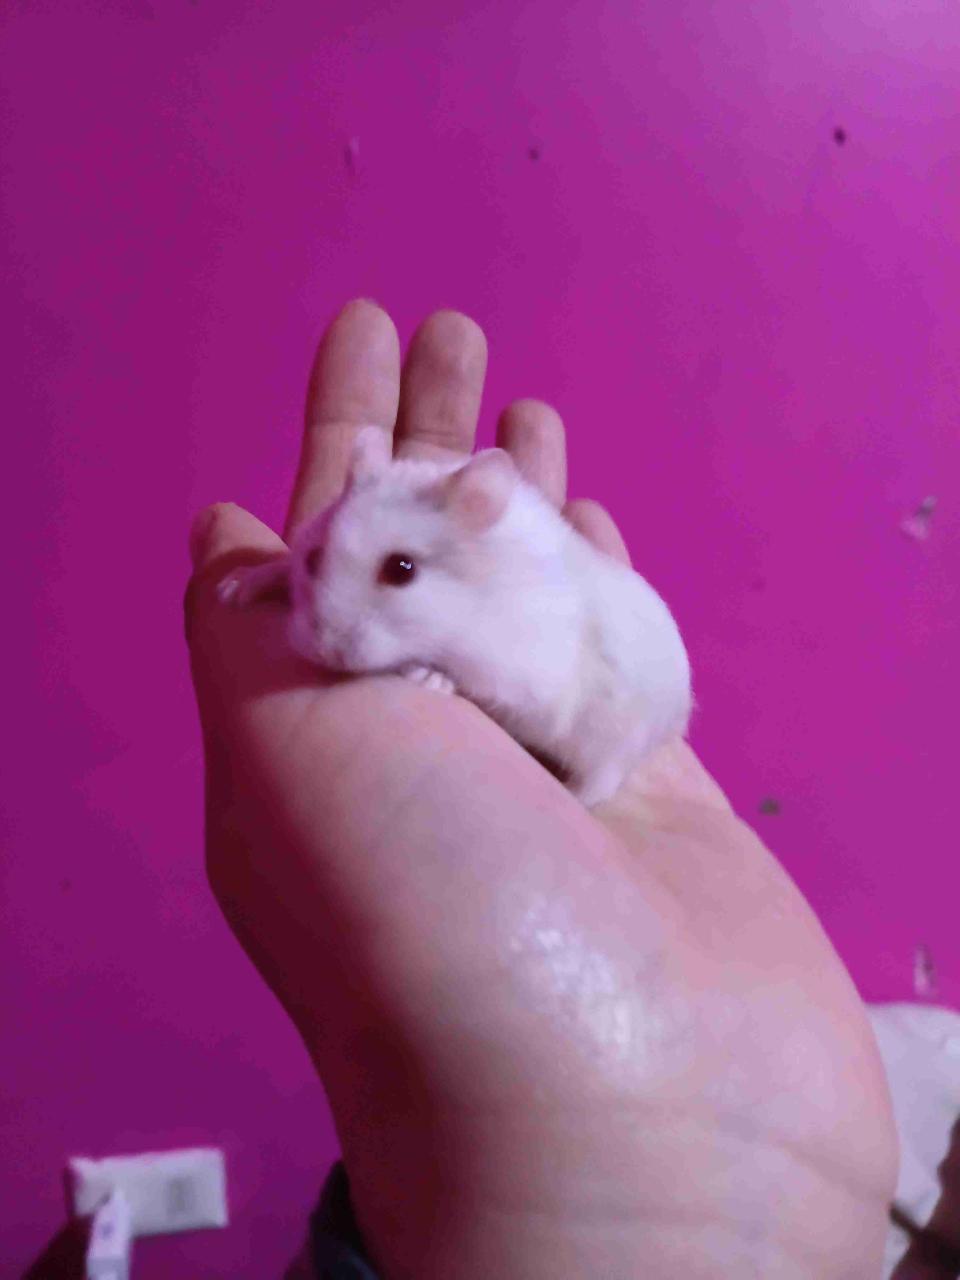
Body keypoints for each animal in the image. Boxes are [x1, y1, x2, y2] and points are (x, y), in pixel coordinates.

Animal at [218, 426, 692, 807]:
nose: (325, 650)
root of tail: (679, 712)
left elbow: (472, 679)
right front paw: (234, 587)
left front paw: (427, 676)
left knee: (599, 785)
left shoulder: (525, 674)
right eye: (314, 559)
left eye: (402, 569)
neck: (466, 609)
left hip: (613, 744)